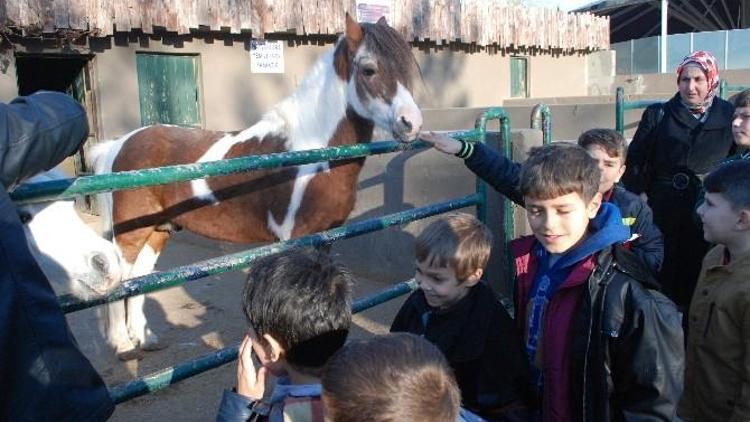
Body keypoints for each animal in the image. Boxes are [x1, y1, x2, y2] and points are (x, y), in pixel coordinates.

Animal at [89, 13, 424, 358]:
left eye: (406, 68)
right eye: (369, 69)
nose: (411, 123)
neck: (311, 150)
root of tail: (120, 144)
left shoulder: (326, 237)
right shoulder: (296, 238)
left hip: (159, 230)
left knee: (138, 278)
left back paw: (145, 338)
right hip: (129, 234)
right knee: (120, 278)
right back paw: (123, 344)